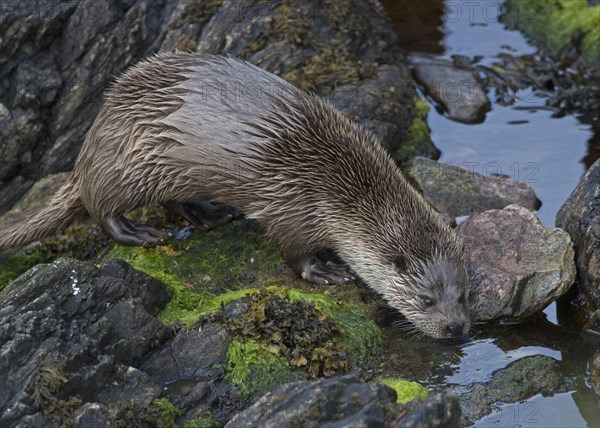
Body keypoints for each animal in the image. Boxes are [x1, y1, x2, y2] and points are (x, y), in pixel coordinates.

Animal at [0, 51, 468, 338]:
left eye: (463, 293)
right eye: (426, 300)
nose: (457, 328)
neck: (341, 191)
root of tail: (95, 136)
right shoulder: (295, 207)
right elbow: (292, 250)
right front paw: (324, 272)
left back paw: (208, 215)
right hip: (129, 163)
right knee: (100, 206)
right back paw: (140, 233)